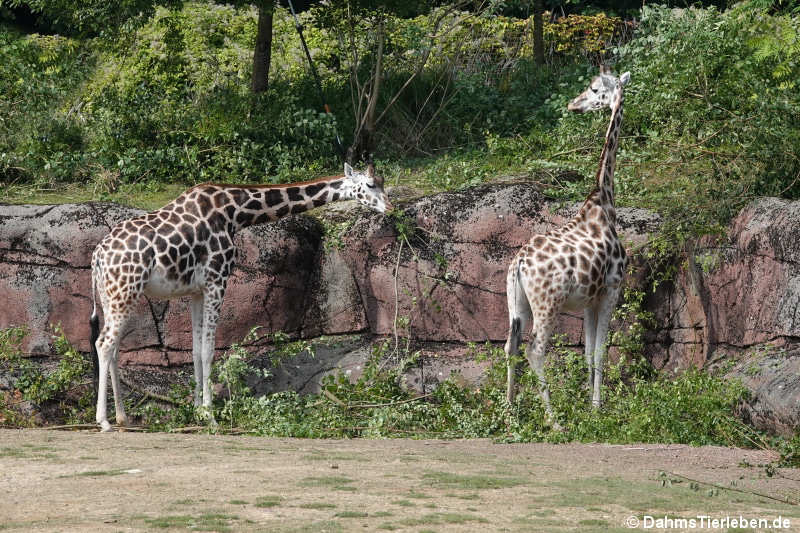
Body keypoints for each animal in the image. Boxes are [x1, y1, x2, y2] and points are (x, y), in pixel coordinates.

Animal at [90, 163, 390, 432]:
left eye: (383, 182)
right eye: (370, 185)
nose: (390, 207)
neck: (235, 212)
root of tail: (98, 256)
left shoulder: (196, 291)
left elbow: (196, 351)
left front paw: (197, 410)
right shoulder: (217, 281)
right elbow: (209, 350)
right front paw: (211, 415)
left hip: (113, 295)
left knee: (114, 348)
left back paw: (123, 417)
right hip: (125, 291)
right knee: (104, 343)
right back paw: (104, 421)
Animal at [506, 66, 632, 426]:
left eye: (593, 89)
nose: (574, 104)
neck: (604, 200)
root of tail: (519, 265)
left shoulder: (590, 300)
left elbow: (589, 353)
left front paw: (588, 405)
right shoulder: (612, 289)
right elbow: (601, 352)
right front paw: (597, 408)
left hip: (517, 305)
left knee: (512, 347)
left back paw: (510, 412)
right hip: (548, 304)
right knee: (535, 350)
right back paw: (553, 420)